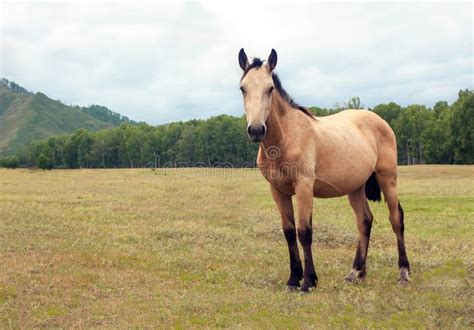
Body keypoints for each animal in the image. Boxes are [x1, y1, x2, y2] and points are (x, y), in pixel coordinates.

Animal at [239, 48, 410, 292]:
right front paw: (293, 279)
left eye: (270, 88)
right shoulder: (278, 191)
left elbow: (304, 232)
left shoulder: (304, 188)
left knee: (396, 219)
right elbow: (289, 232)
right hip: (355, 187)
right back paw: (355, 272)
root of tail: (378, 119)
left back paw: (403, 272)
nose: (255, 130)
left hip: (388, 178)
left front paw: (308, 281)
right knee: (364, 221)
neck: (287, 138)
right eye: (243, 88)